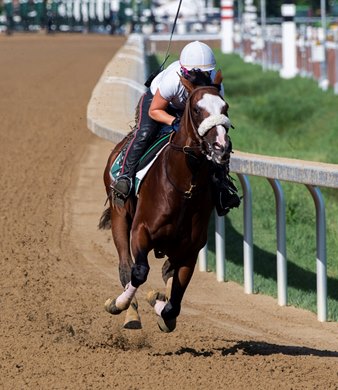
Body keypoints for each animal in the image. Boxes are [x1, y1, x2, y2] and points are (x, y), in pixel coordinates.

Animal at [99, 70, 234, 332]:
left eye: (225, 107)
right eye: (196, 109)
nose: (221, 147)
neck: (185, 188)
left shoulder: (190, 250)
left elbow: (174, 303)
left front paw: (160, 304)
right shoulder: (141, 231)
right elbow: (139, 272)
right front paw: (120, 304)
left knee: (164, 271)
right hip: (120, 213)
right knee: (125, 268)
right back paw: (130, 312)